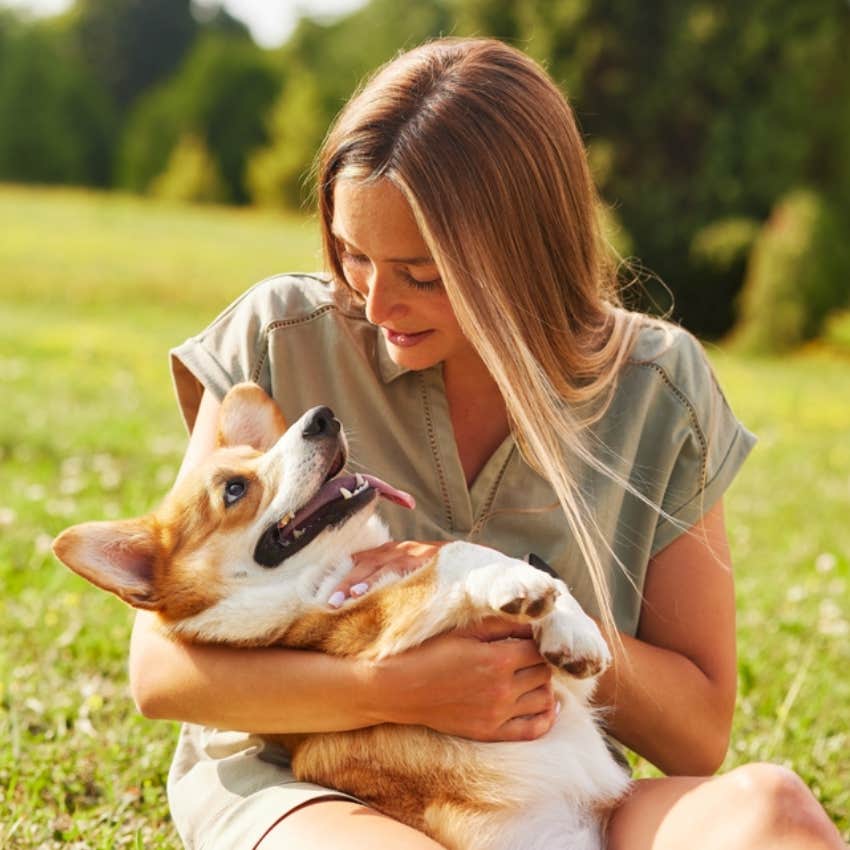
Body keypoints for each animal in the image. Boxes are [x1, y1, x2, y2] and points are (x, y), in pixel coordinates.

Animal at [49, 384, 628, 848]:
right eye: (234, 489)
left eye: (263, 453)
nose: (322, 417)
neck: (334, 565)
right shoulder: (365, 627)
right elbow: (457, 553)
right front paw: (515, 584)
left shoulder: (563, 693)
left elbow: (551, 605)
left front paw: (574, 632)